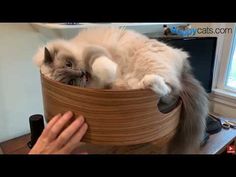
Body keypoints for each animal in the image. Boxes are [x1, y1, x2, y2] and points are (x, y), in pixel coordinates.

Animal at [33, 27, 208, 154]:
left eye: (69, 64)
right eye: (71, 82)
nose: (82, 74)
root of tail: (183, 66)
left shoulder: (94, 52)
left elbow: (101, 65)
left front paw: (111, 70)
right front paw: (111, 74)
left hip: (148, 61)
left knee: (172, 90)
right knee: (167, 93)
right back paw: (146, 82)